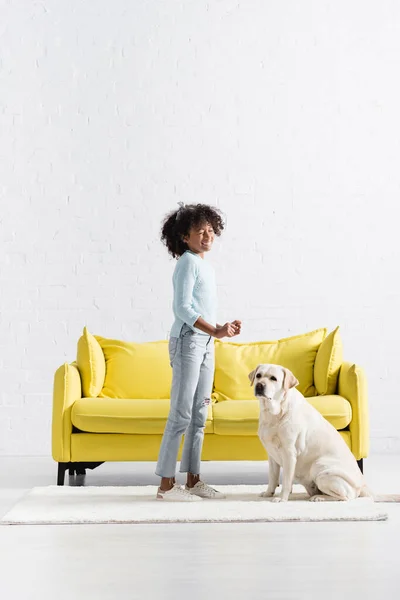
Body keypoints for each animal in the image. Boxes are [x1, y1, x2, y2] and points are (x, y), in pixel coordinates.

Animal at [248, 364, 370, 504]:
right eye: (258, 376)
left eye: (273, 378)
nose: (259, 386)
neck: (274, 412)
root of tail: (362, 486)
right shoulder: (272, 455)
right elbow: (273, 478)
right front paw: (269, 493)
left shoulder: (289, 453)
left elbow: (286, 481)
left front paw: (282, 498)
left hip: (320, 468)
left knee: (345, 497)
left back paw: (319, 497)